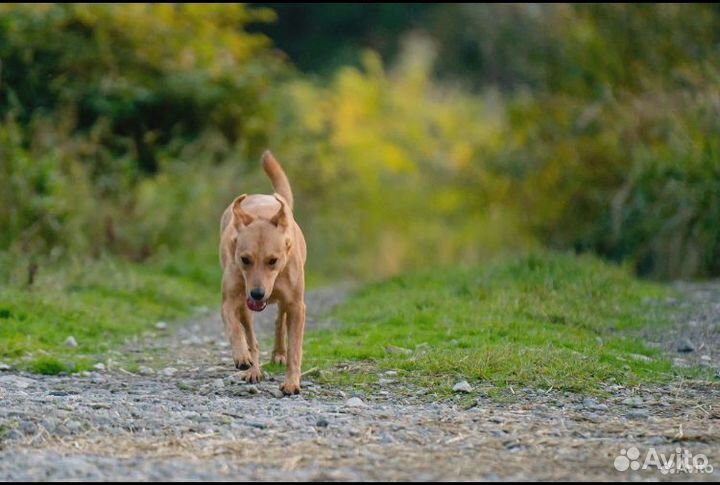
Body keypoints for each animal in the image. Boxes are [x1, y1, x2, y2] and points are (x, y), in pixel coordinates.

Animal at [221, 150, 308, 394]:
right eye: (244, 259)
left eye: (273, 260)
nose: (258, 294)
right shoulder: (231, 300)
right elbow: (235, 329)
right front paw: (242, 357)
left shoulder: (297, 306)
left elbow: (295, 348)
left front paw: (291, 382)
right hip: (245, 307)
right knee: (252, 336)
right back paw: (253, 369)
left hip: (286, 301)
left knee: (279, 321)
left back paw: (278, 354)